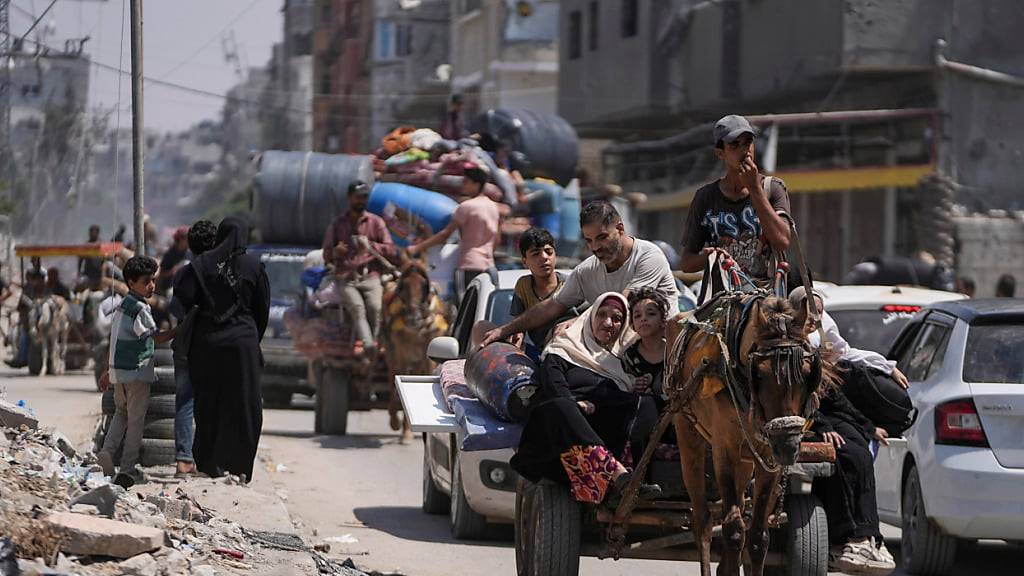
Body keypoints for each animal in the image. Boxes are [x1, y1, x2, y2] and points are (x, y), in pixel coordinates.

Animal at [382, 253, 450, 440]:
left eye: (424, 285)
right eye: (403, 286)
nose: (414, 319)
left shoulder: (428, 355)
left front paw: (407, 431)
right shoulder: (401, 352)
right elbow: (398, 380)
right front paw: (400, 426)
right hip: (391, 352)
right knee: (391, 374)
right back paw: (393, 418)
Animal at [663, 293, 831, 569]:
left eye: (808, 373)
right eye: (759, 374)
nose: (788, 446)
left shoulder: (768, 458)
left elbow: (758, 536)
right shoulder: (724, 449)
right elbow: (733, 531)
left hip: (746, 459)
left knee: (740, 505)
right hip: (687, 430)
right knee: (703, 521)